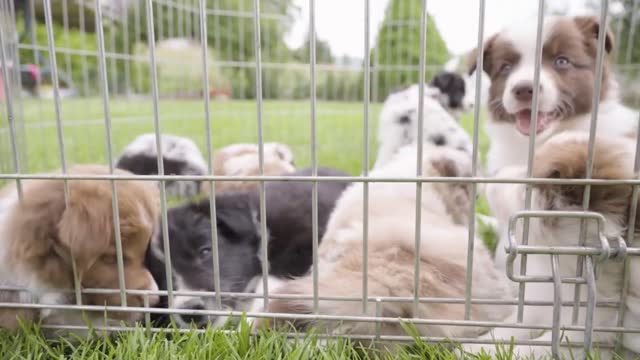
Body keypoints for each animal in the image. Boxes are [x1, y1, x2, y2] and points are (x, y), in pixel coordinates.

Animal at [464, 131, 640, 358]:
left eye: (526, 187)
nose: (495, 175)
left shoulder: (595, 325)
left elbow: (550, 343)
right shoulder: (539, 302)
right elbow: (515, 325)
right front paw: (475, 346)